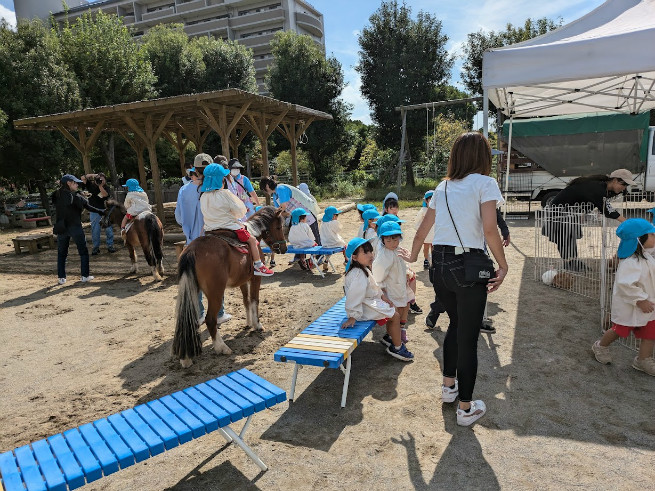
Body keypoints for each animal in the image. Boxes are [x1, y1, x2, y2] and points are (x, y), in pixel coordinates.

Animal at [173, 206, 286, 368]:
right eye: (279, 227)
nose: (284, 248)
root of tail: (191, 250)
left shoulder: (243, 281)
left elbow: (246, 302)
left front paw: (249, 323)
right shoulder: (255, 278)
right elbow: (254, 300)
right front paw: (257, 324)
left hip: (192, 291)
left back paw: (186, 358)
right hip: (216, 293)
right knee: (210, 319)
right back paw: (222, 347)